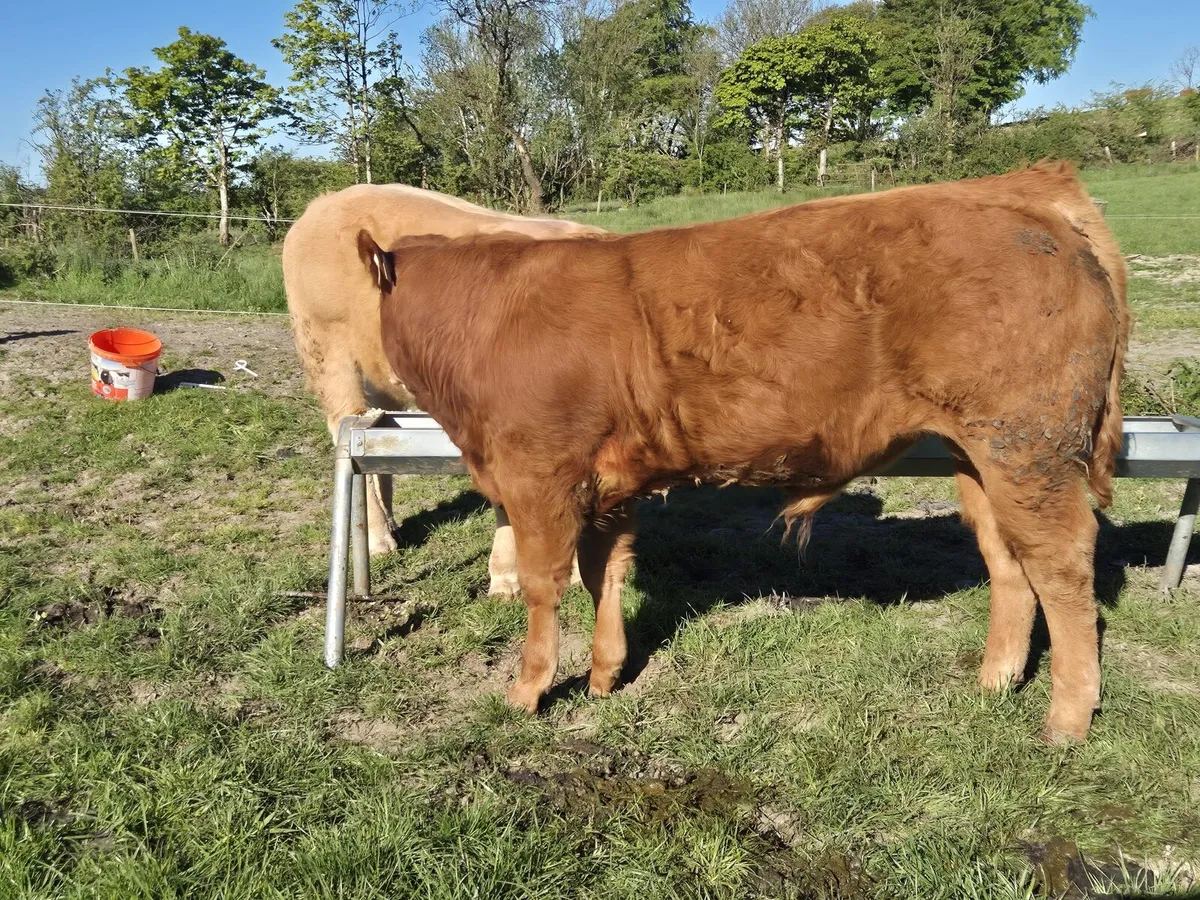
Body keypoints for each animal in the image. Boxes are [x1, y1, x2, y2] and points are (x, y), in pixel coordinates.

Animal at [283, 183, 603, 594]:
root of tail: (324, 203)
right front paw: (509, 577)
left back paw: (391, 527)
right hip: (329, 354)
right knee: (346, 426)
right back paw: (378, 539)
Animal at [368, 161, 1129, 743]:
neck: (488, 319)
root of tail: (1025, 185)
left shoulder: (539, 478)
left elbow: (544, 585)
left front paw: (527, 691)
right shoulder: (607, 486)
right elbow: (604, 574)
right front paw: (606, 675)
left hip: (1029, 448)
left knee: (1061, 563)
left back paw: (1067, 718)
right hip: (981, 456)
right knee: (1007, 558)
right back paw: (996, 680)